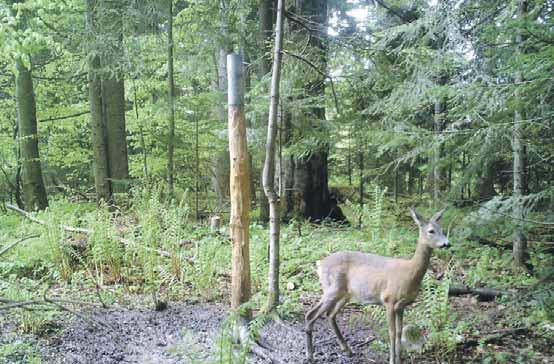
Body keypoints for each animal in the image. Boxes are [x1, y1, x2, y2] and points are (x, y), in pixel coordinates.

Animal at [304, 208, 446, 364]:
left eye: (443, 230)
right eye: (431, 231)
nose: (447, 243)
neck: (409, 273)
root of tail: (319, 263)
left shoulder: (401, 306)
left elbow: (399, 332)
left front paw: (399, 359)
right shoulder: (389, 300)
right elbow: (391, 333)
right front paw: (392, 360)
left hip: (344, 294)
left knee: (330, 315)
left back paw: (347, 350)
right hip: (331, 289)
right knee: (310, 315)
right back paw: (310, 356)